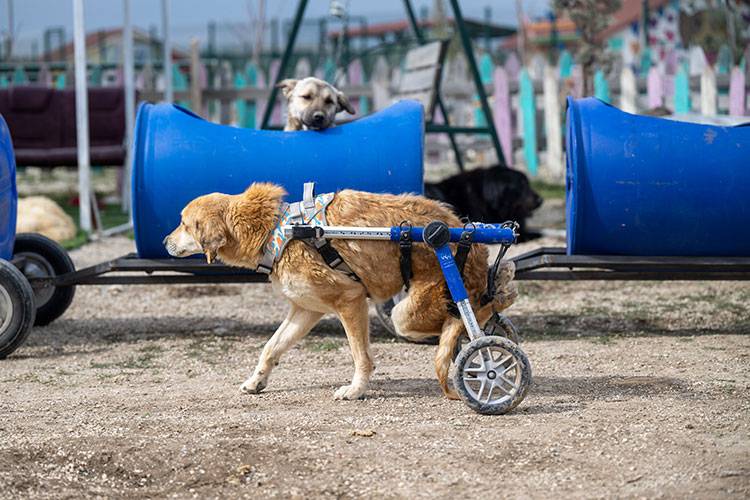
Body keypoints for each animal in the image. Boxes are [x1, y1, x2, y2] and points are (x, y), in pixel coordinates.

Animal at [164, 185, 516, 402]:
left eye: (183, 224)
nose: (165, 241)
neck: (276, 229)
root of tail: (470, 237)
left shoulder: (350, 300)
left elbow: (361, 357)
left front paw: (355, 390)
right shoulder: (305, 310)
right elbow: (271, 347)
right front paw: (256, 381)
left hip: (406, 314)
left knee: (479, 308)